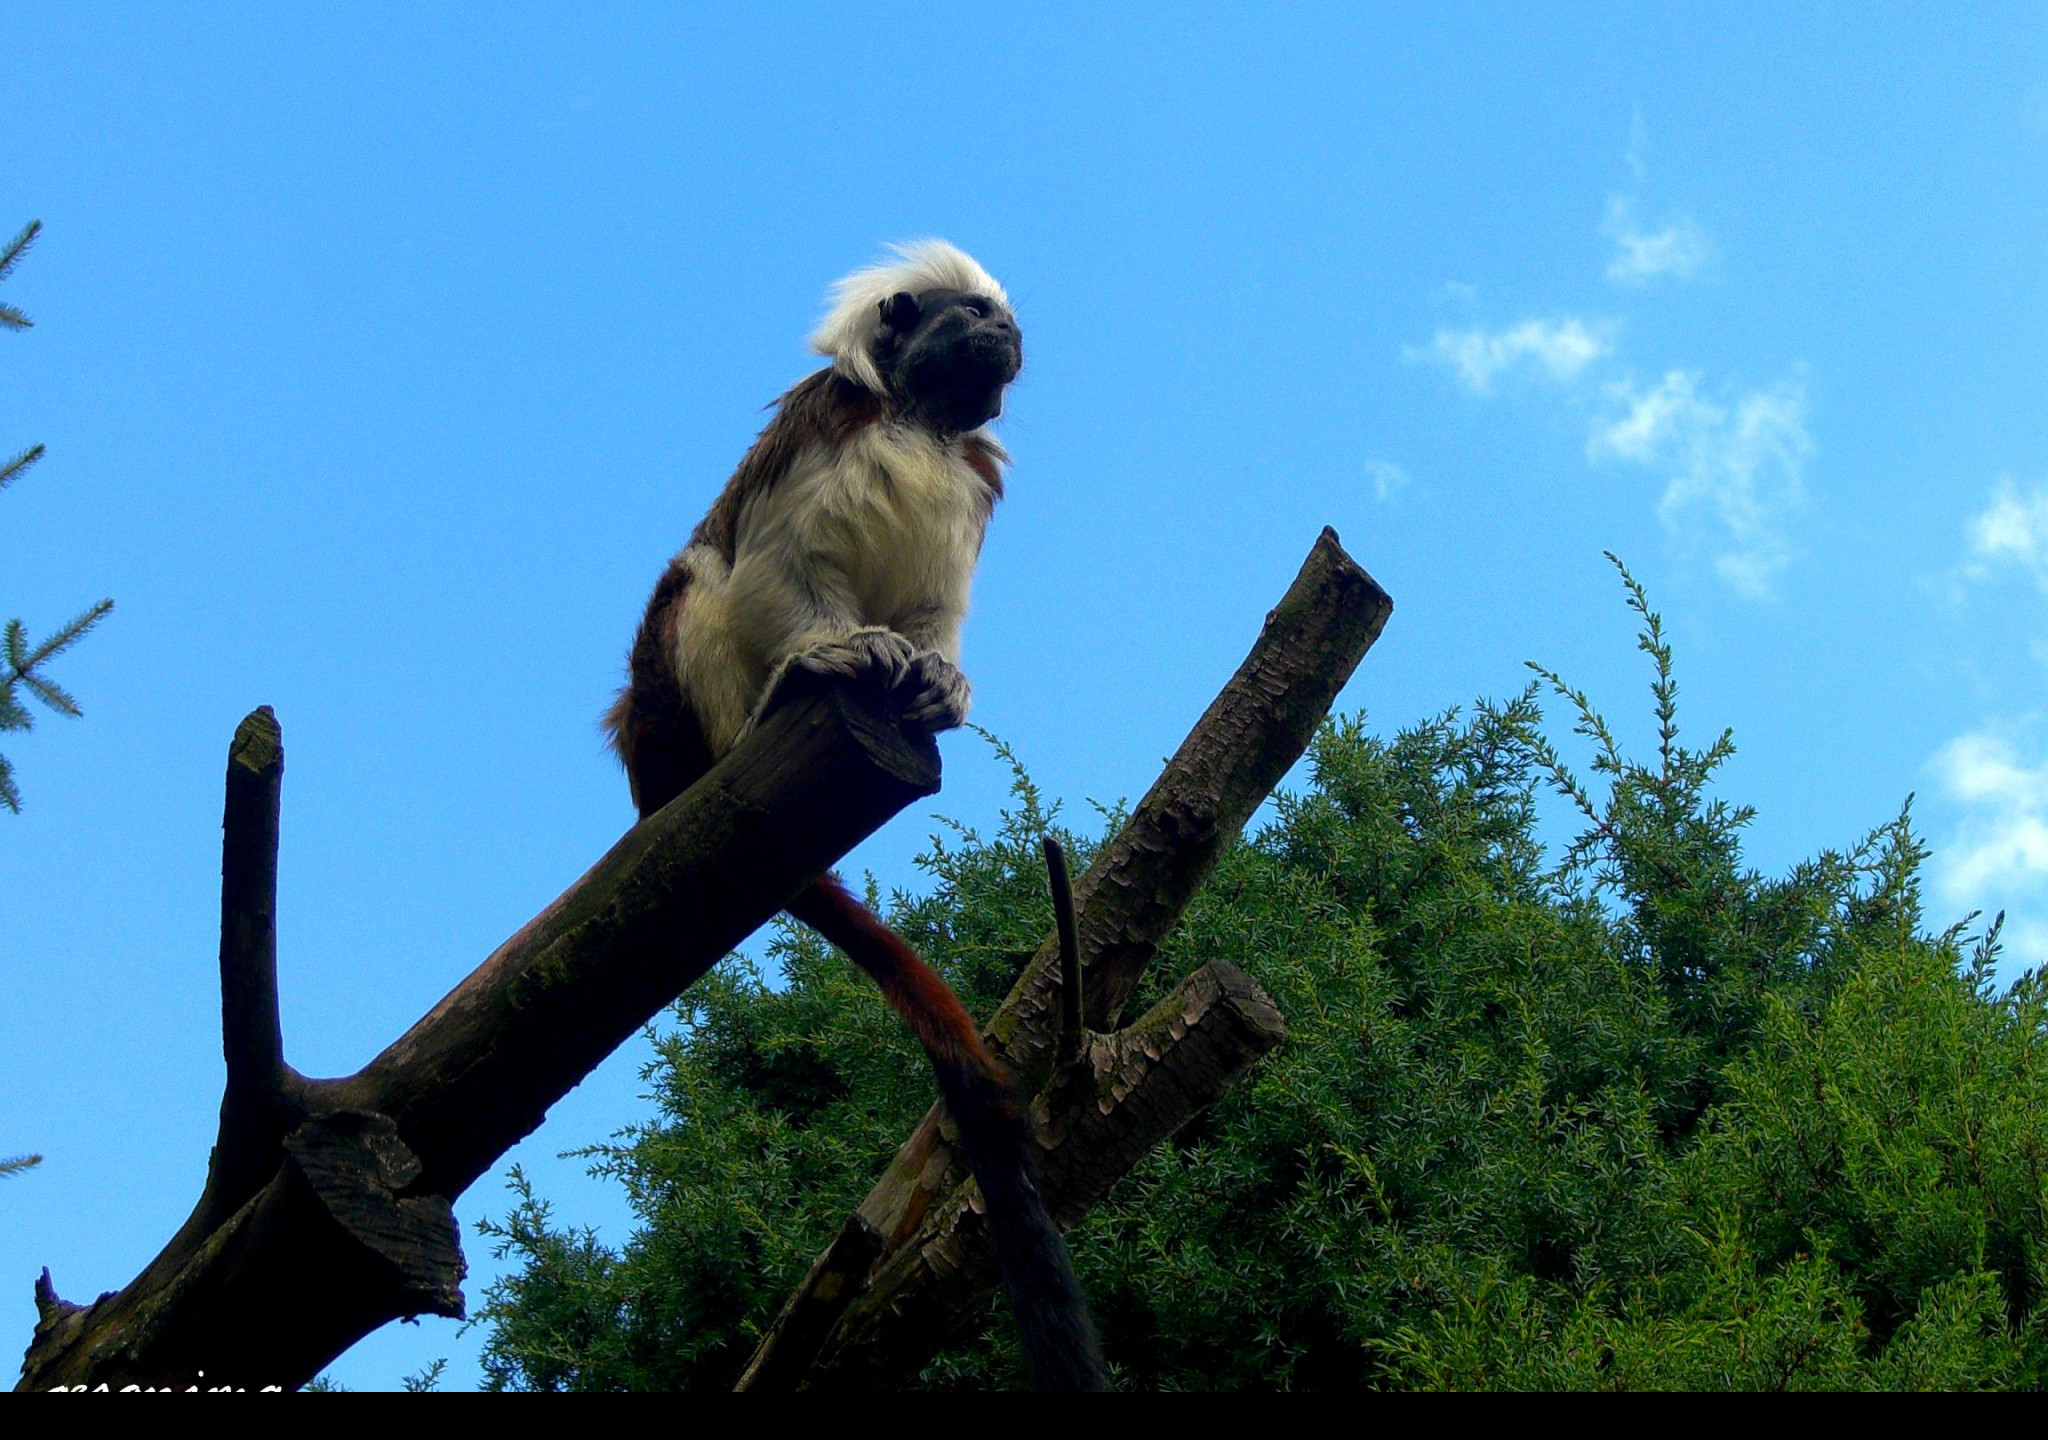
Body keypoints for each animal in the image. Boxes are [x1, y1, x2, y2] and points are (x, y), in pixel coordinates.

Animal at [606, 241, 1114, 1392]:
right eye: (975, 316)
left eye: (1005, 322)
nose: (1010, 336)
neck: (918, 425)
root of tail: (651, 788)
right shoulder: (820, 441)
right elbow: (775, 571)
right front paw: (831, 650)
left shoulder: (959, 495)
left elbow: (933, 615)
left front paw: (940, 684)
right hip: (672, 730)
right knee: (698, 580)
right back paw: (772, 705)